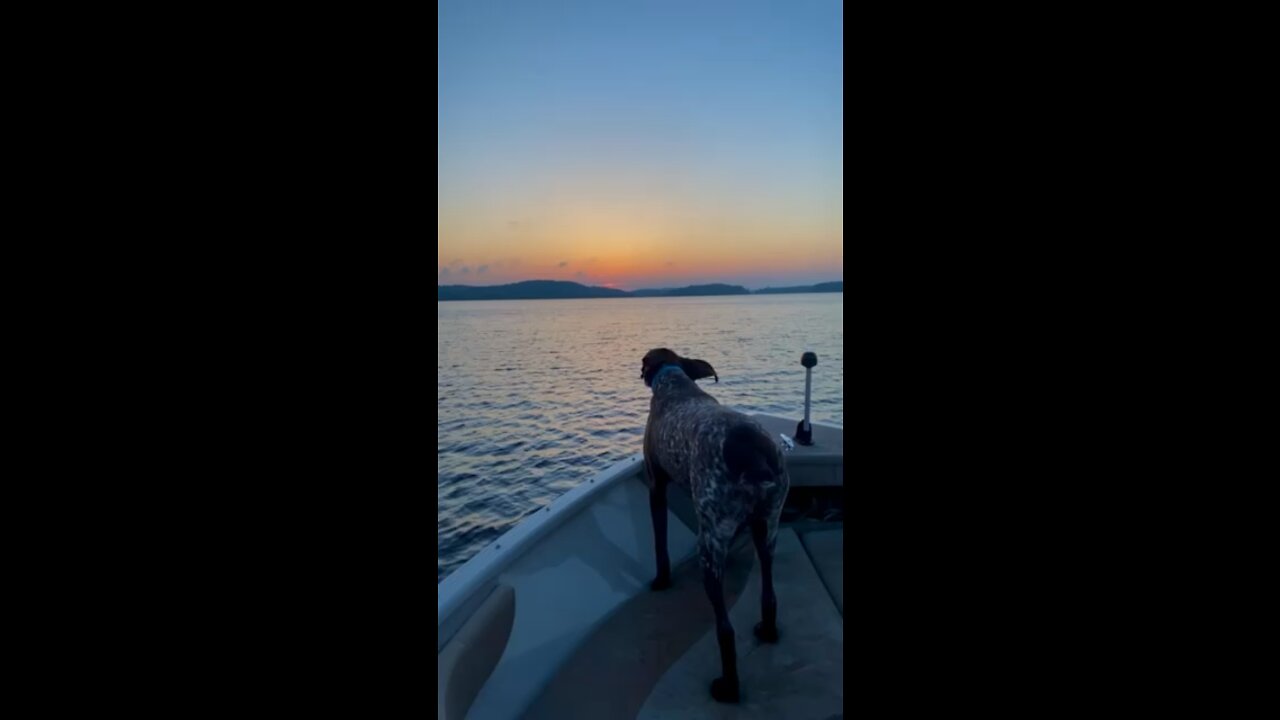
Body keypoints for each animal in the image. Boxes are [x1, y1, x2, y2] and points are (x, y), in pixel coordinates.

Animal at [640, 345, 788, 696]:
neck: (675, 383)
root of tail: (752, 451)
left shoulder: (656, 485)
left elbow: (660, 543)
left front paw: (661, 580)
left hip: (708, 546)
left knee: (725, 629)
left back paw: (728, 687)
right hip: (767, 527)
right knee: (769, 594)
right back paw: (767, 630)